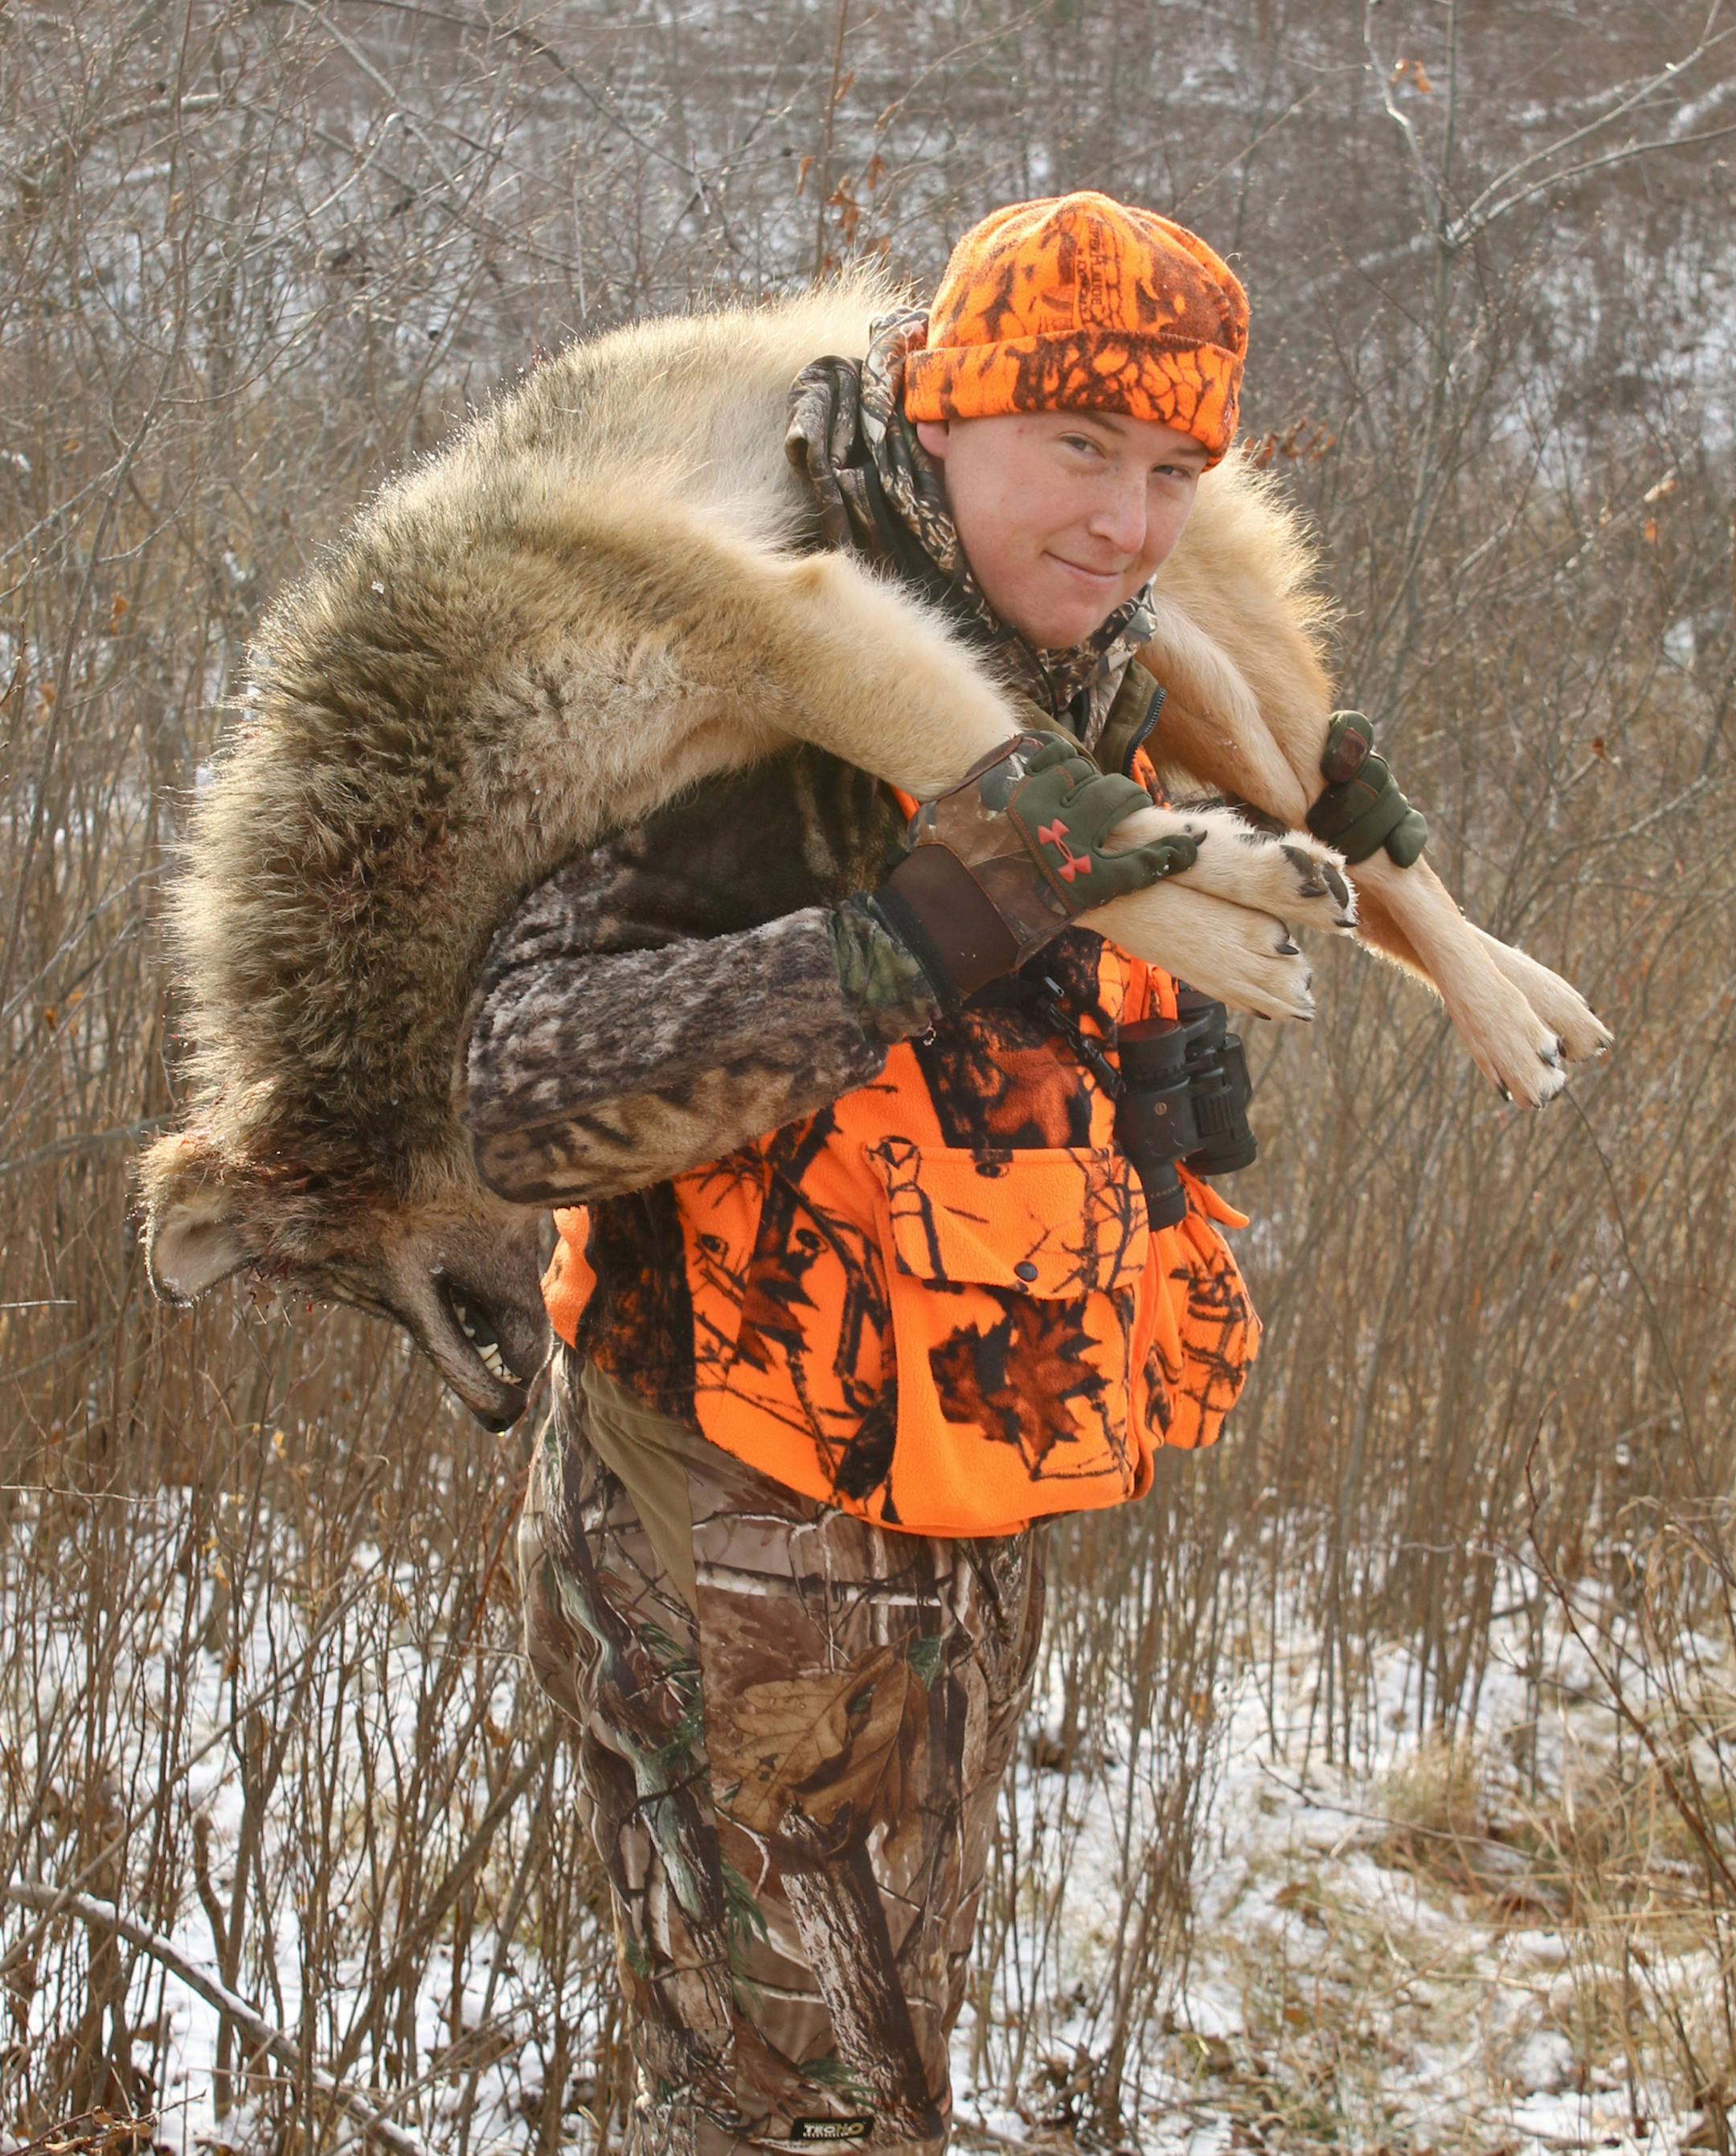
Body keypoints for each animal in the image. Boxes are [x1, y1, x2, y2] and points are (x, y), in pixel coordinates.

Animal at [137, 277, 1608, 1429]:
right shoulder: (814, 665)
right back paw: (1541, 998)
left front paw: (1232, 920)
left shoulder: (790, 629)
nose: (495, 1415)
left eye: (349, 1287)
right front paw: (1219, 899)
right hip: (1179, 673)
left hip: (1214, 663)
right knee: (1366, 858)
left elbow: (1052, 813)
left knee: (1385, 842)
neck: (416, 791)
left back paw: (1507, 1017)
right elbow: (1053, 812)